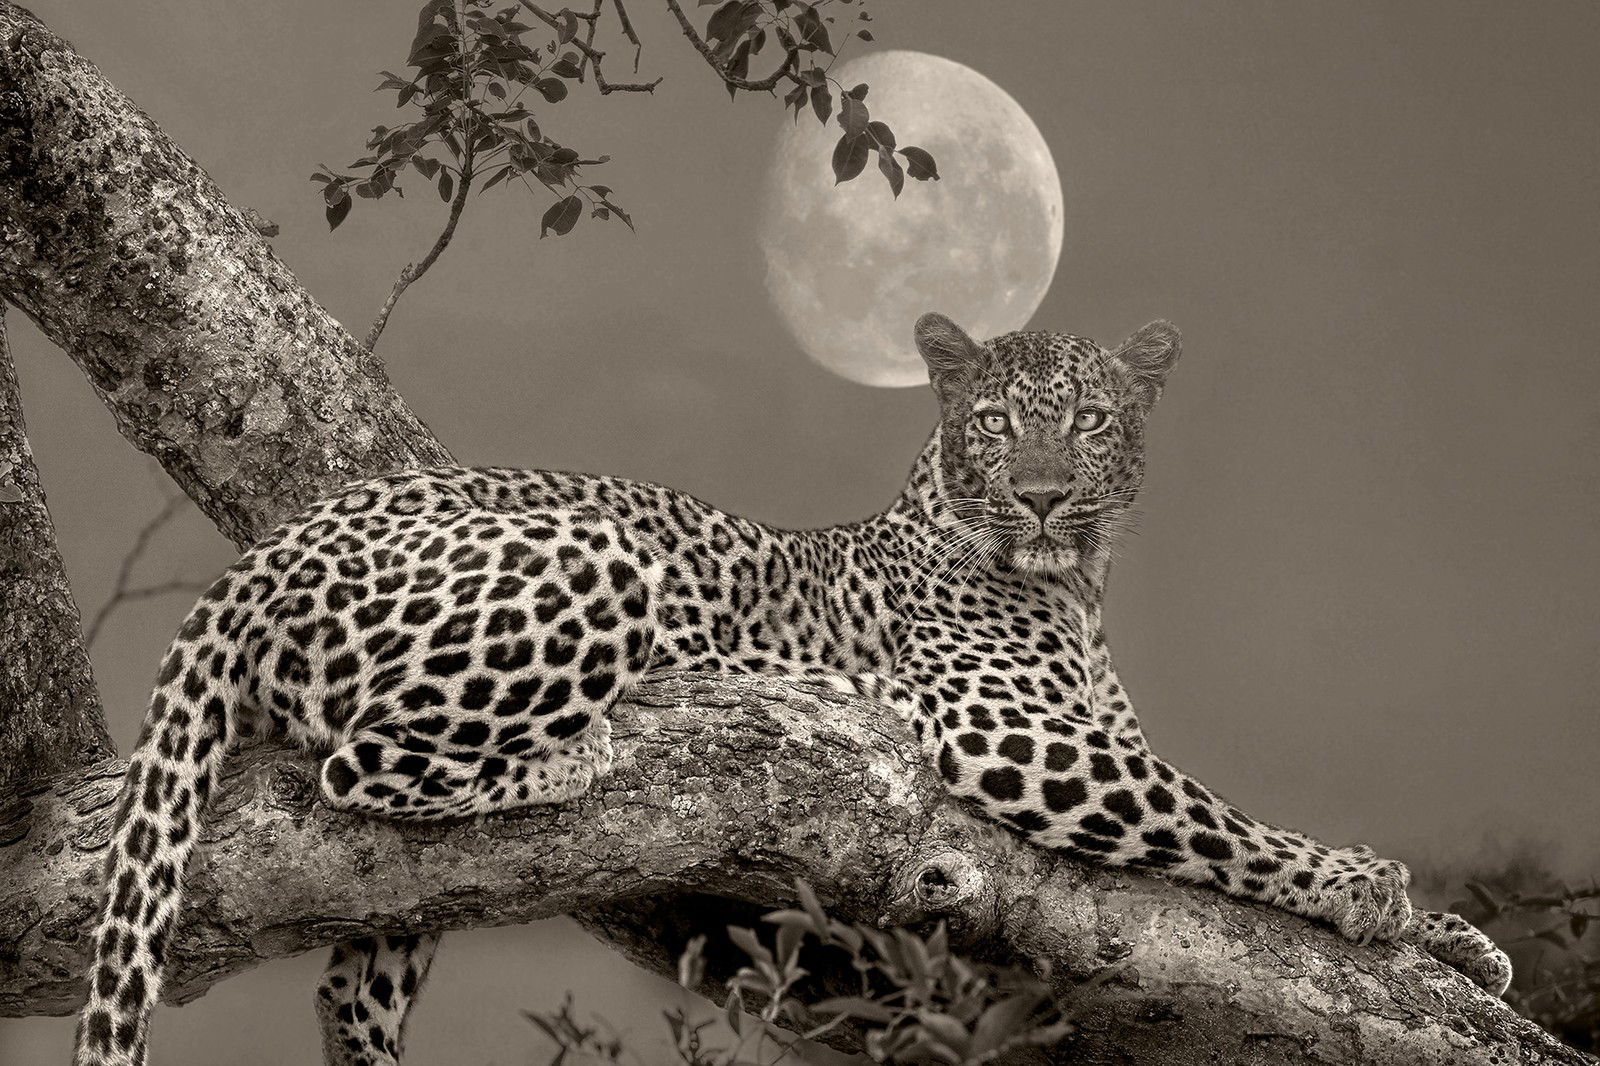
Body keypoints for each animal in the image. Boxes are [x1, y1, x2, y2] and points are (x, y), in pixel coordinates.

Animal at [74, 312, 1512, 1066]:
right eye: (997, 426)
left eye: (1092, 422)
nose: (1046, 493)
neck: (1073, 583)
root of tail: (271, 548)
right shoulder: (1006, 731)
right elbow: (1218, 817)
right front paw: (1363, 884)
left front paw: (1458, 943)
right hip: (597, 560)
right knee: (361, 762)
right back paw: (578, 753)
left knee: (352, 978)